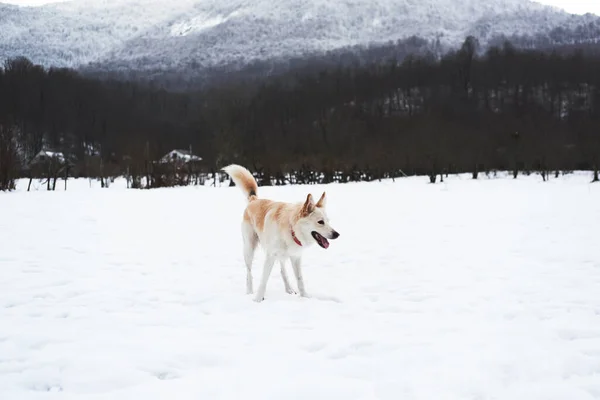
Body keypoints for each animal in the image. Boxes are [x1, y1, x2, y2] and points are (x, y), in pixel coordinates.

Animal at [223, 164, 340, 302]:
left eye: (328, 221)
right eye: (320, 222)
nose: (337, 234)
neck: (291, 229)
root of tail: (253, 200)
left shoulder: (296, 257)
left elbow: (300, 279)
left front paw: (305, 297)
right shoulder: (270, 256)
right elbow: (263, 281)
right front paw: (257, 300)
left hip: (282, 255)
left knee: (283, 271)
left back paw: (288, 289)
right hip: (249, 249)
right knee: (249, 272)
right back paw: (250, 291)